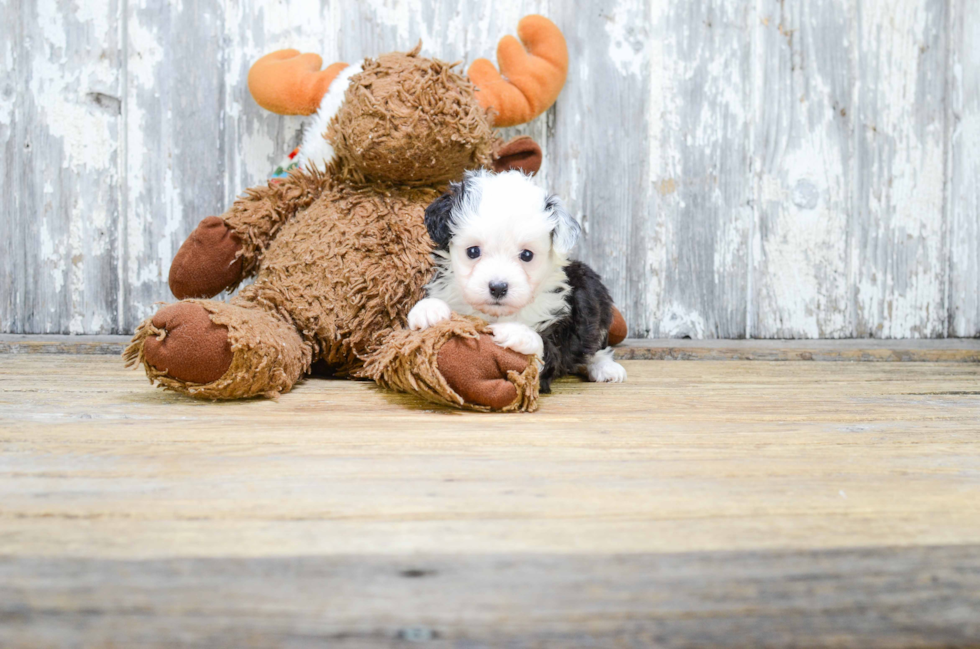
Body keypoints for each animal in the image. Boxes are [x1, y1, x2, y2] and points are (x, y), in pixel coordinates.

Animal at [408, 168, 628, 390]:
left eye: (527, 255)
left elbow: (545, 351)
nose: (498, 287)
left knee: (596, 345)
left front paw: (519, 334)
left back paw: (606, 368)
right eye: (473, 251)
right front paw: (428, 309)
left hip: (593, 292)